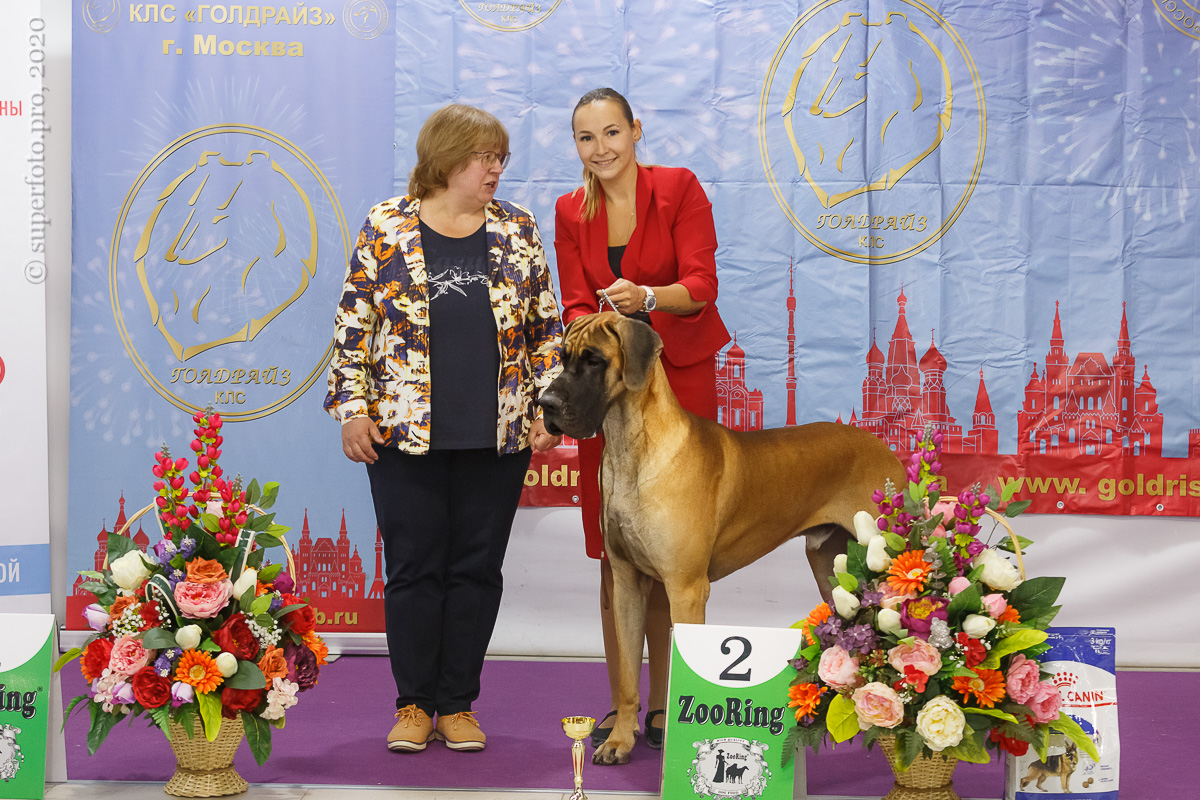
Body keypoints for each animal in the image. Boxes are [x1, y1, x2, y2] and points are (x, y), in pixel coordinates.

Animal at [540, 311, 902, 762]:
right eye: (563, 357)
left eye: (594, 360)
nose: (545, 404)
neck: (631, 447)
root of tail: (882, 444)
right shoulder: (626, 583)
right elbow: (626, 674)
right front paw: (620, 740)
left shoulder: (686, 589)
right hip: (832, 572)